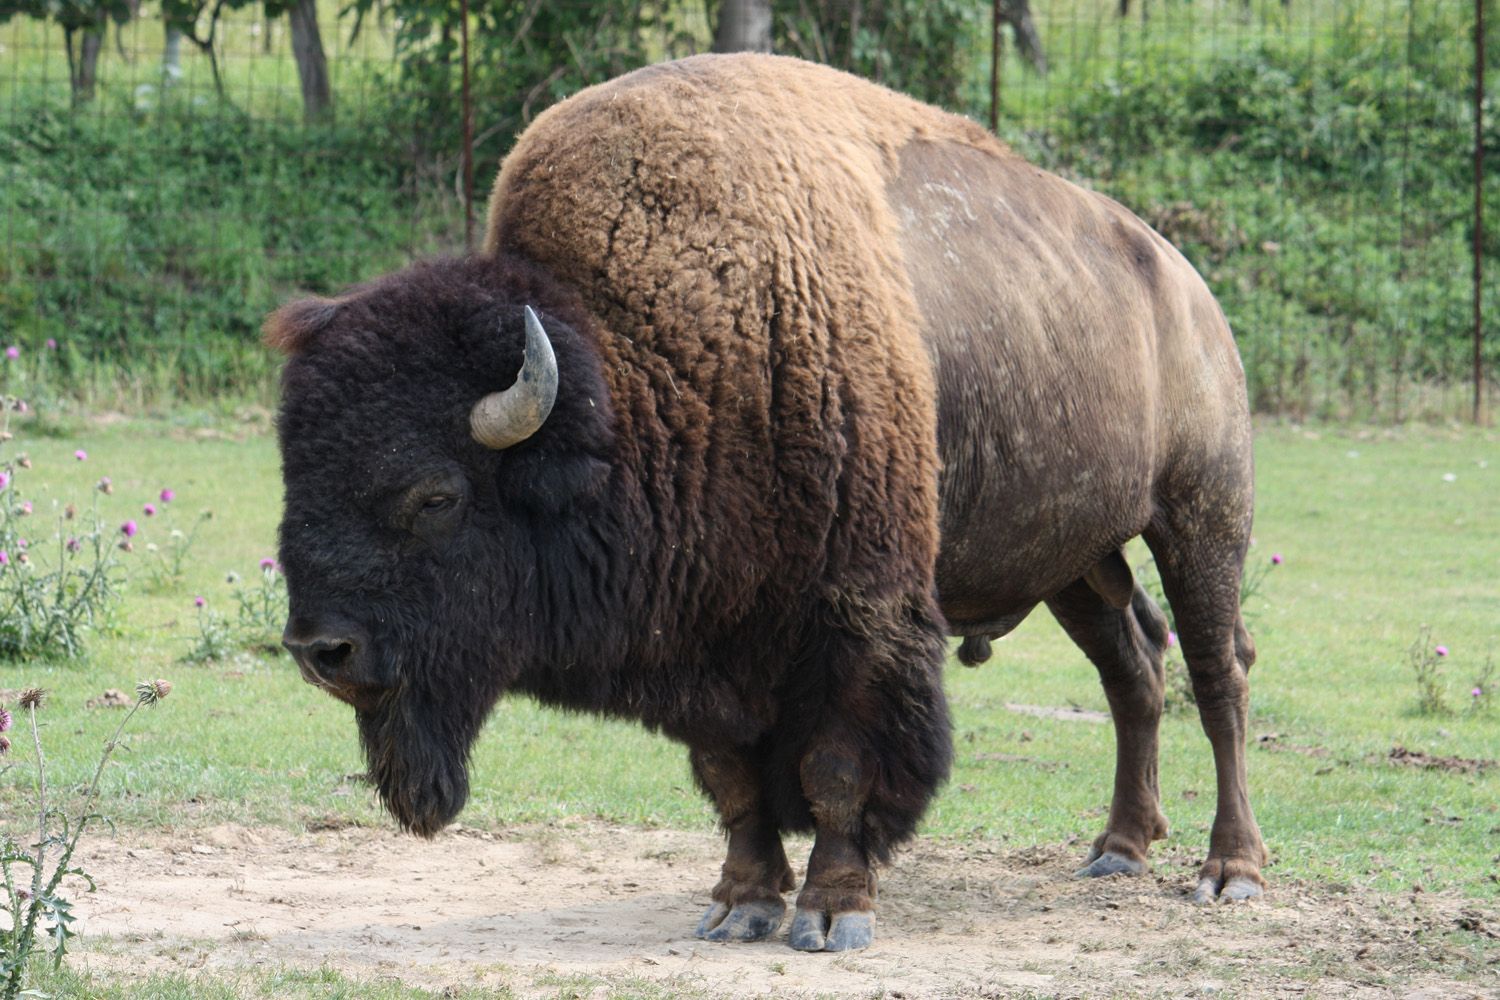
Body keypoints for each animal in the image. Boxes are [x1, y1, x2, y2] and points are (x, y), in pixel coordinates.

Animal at [270, 54, 1265, 953]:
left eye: (435, 496)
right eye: (293, 476)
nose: (322, 651)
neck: (644, 373)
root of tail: (1184, 283)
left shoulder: (859, 619)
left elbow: (837, 768)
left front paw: (832, 912)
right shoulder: (706, 637)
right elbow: (733, 777)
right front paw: (739, 905)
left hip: (1201, 517)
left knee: (1216, 675)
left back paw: (1231, 871)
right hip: (1076, 560)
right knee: (1132, 670)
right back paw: (1119, 850)